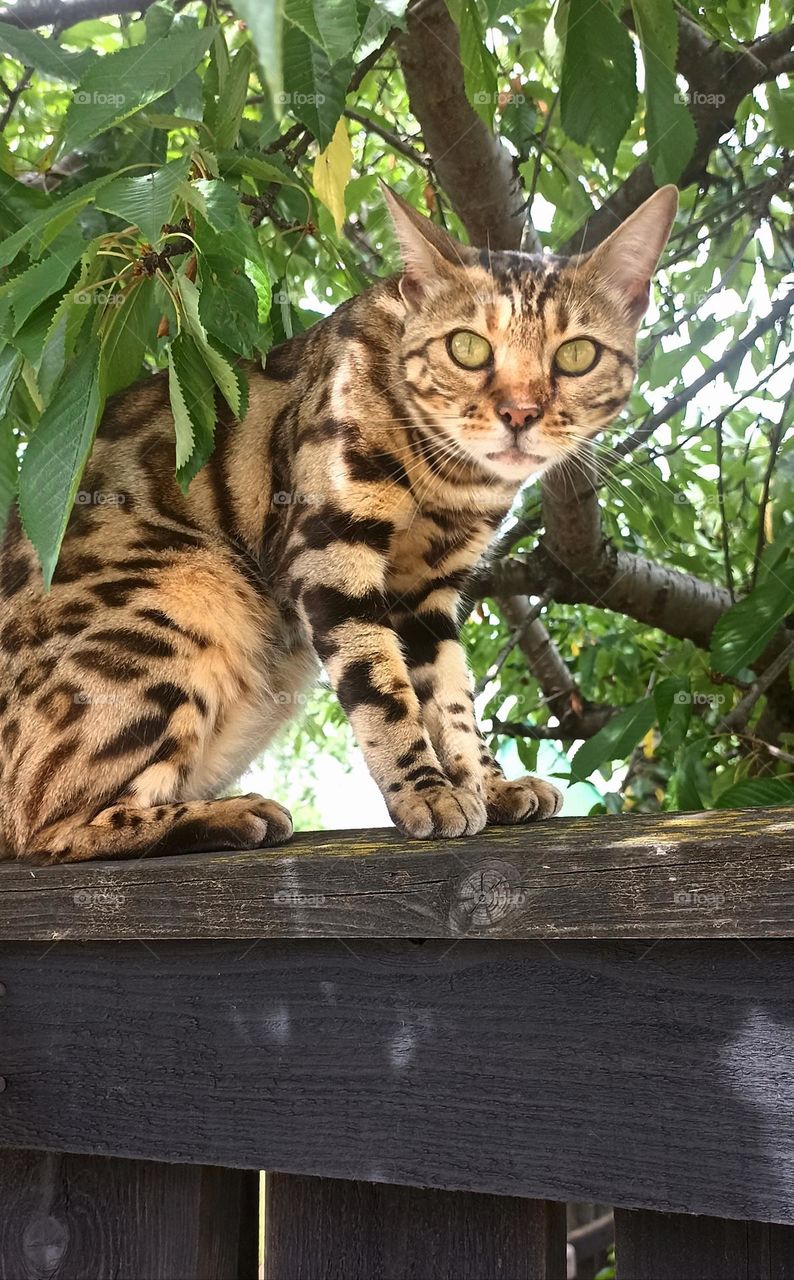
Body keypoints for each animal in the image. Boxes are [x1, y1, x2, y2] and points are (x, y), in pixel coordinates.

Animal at [0, 183, 676, 860]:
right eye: (467, 347)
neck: (454, 482)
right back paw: (229, 814)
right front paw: (428, 793)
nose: (520, 413)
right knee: (45, 829)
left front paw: (489, 784)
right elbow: (381, 690)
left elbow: (451, 698)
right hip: (192, 593)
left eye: (577, 355)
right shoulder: (330, 550)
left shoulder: (427, 590)